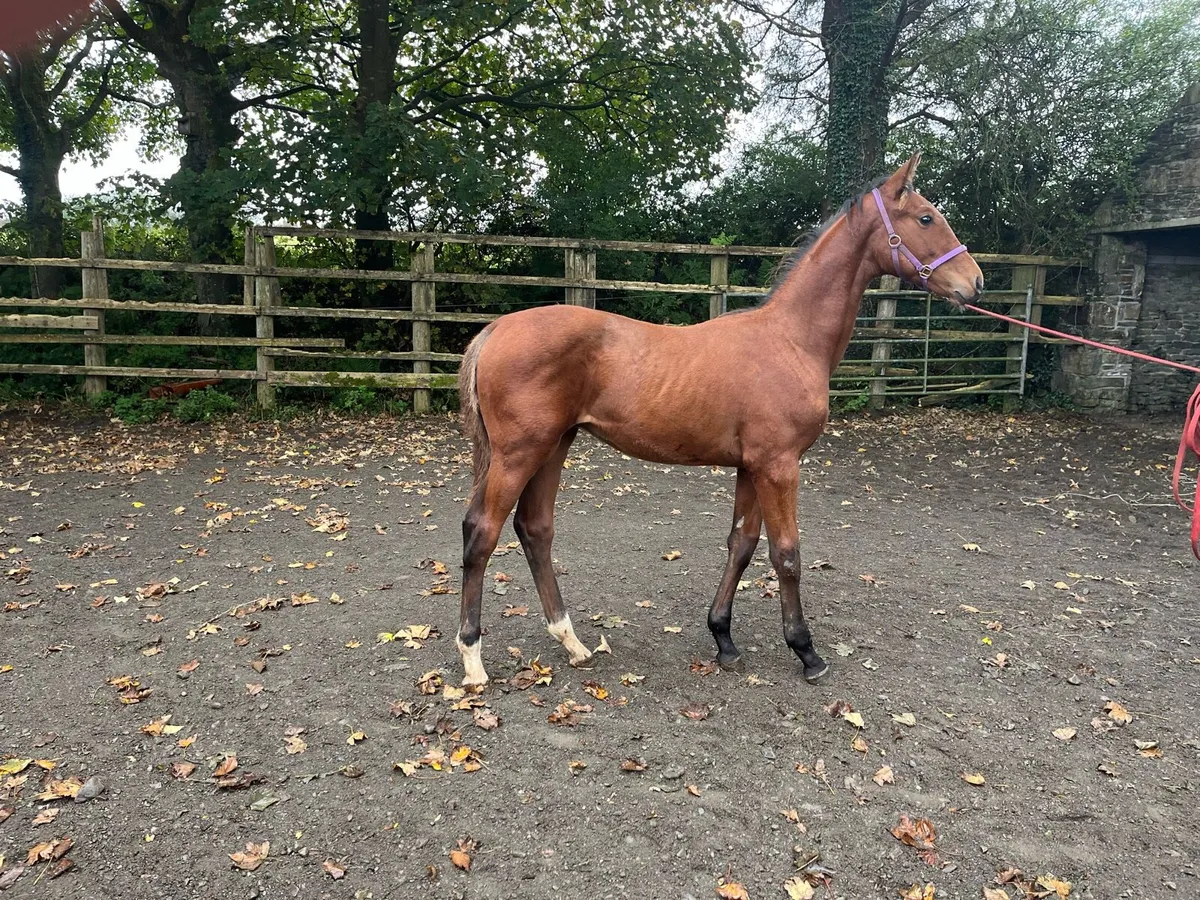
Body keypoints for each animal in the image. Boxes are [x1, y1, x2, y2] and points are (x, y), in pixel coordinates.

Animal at [453, 154, 984, 687]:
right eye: (925, 217)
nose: (975, 281)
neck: (791, 339)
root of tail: (496, 329)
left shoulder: (752, 466)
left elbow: (742, 544)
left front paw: (724, 639)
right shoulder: (779, 466)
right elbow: (786, 554)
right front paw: (806, 651)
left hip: (555, 445)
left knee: (535, 529)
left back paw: (573, 643)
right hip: (520, 452)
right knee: (482, 533)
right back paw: (473, 660)